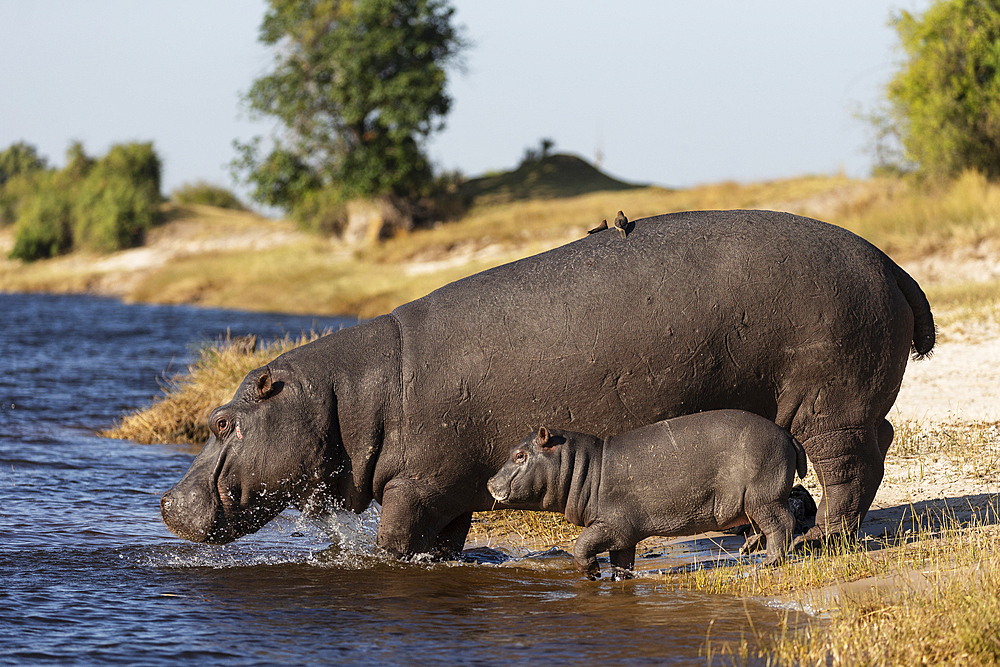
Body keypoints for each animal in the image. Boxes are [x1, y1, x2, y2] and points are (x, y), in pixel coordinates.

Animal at [160, 211, 932, 556]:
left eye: (221, 422)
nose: (166, 503)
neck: (344, 395)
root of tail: (892, 264)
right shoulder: (450, 486)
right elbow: (443, 541)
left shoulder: (413, 484)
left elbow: (393, 538)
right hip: (850, 403)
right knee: (878, 447)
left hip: (830, 403)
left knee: (848, 470)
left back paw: (821, 541)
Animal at [488, 408, 808, 580]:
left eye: (519, 455)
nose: (490, 482)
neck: (585, 466)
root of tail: (787, 434)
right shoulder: (623, 535)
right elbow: (621, 561)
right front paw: (618, 580)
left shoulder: (610, 524)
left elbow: (581, 546)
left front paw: (593, 572)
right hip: (757, 501)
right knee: (775, 523)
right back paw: (751, 552)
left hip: (763, 497)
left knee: (782, 524)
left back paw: (769, 562)